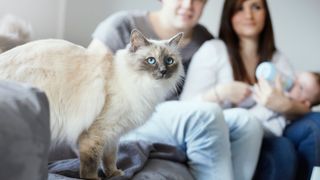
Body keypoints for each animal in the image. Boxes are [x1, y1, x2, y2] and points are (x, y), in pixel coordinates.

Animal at [0, 29, 185, 179]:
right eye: (151, 60)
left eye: (169, 61)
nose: (163, 71)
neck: (146, 87)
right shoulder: (96, 133)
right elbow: (91, 164)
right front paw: (95, 179)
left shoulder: (112, 135)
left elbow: (110, 158)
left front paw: (114, 174)